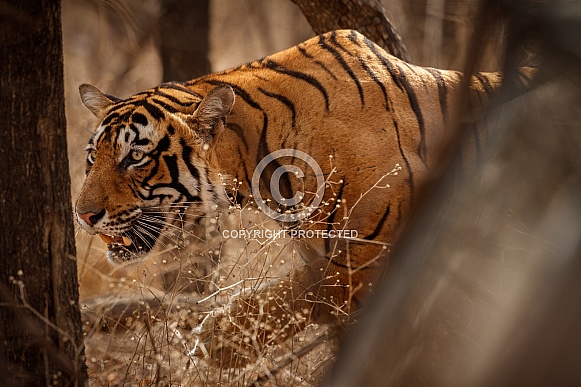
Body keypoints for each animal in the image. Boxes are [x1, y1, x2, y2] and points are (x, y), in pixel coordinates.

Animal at [73, 29, 532, 366]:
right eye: (93, 157)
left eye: (135, 158)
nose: (83, 215)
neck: (258, 169)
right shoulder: (322, 254)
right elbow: (297, 292)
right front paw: (221, 340)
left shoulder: (371, 254)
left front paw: (216, 342)